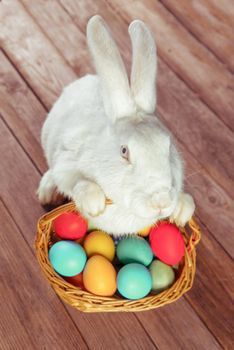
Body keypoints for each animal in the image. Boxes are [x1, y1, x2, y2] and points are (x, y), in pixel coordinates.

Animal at [37, 15, 195, 237]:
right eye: (124, 151)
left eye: (169, 146)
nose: (161, 201)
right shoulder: (66, 161)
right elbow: (75, 180)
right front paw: (94, 203)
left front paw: (182, 210)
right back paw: (46, 191)